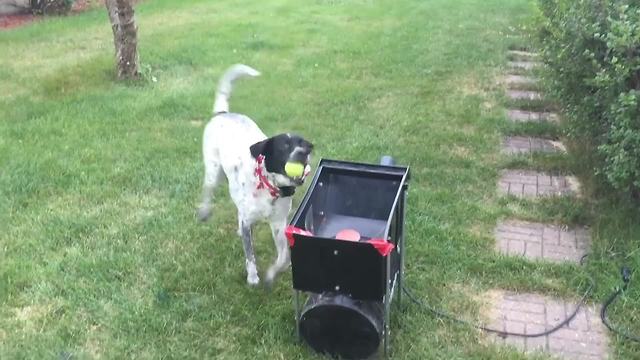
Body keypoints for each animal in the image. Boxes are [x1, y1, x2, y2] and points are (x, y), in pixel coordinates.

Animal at [196, 63, 314, 286]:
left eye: (302, 143)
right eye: (283, 147)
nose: (303, 153)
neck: (269, 186)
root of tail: (222, 113)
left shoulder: (278, 224)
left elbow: (283, 256)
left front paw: (271, 274)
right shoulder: (249, 221)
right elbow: (250, 254)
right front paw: (252, 277)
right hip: (214, 172)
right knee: (208, 190)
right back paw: (205, 211)